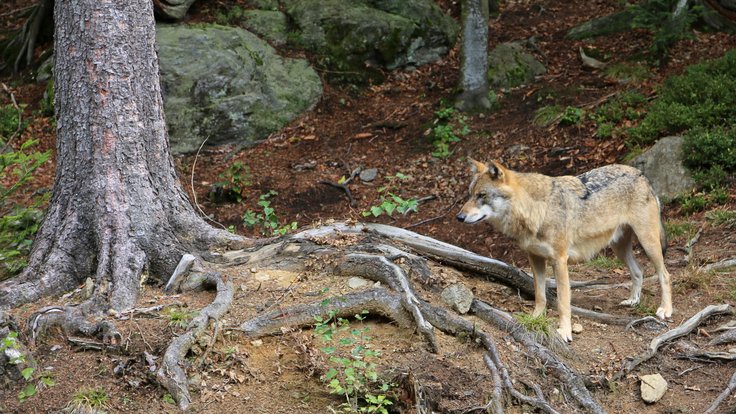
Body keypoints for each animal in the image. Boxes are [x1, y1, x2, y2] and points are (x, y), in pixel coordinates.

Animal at [458, 158, 676, 340]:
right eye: (469, 195)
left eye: (482, 195)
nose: (459, 217)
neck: (537, 210)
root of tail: (641, 174)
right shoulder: (535, 258)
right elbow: (540, 295)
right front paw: (535, 319)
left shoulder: (559, 261)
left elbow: (563, 302)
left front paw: (564, 331)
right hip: (619, 247)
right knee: (638, 271)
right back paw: (633, 301)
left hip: (648, 243)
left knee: (665, 274)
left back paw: (665, 309)